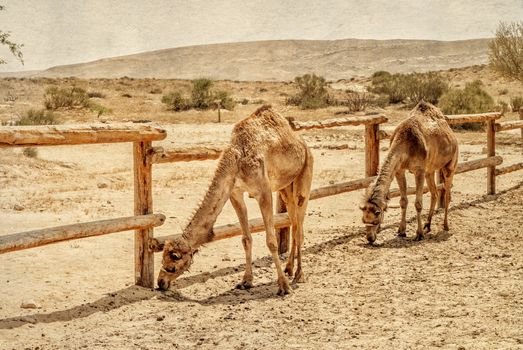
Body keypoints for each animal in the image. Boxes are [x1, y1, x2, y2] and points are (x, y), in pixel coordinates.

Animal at [156, 104, 312, 296]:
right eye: (163, 258)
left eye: (173, 262)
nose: (160, 282)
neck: (237, 159)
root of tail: (302, 143)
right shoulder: (235, 193)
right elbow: (246, 239)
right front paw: (246, 281)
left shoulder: (264, 192)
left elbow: (271, 241)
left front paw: (283, 286)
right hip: (285, 188)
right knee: (294, 223)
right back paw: (289, 269)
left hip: (305, 176)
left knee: (299, 228)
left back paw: (299, 275)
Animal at [360, 100, 458, 243]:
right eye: (363, 220)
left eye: (375, 220)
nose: (370, 238)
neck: (405, 143)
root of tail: (451, 133)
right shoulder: (399, 170)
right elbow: (403, 201)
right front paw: (401, 231)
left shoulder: (419, 170)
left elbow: (418, 203)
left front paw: (419, 234)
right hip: (430, 170)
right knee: (434, 193)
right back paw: (428, 225)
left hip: (450, 164)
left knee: (447, 193)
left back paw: (445, 226)